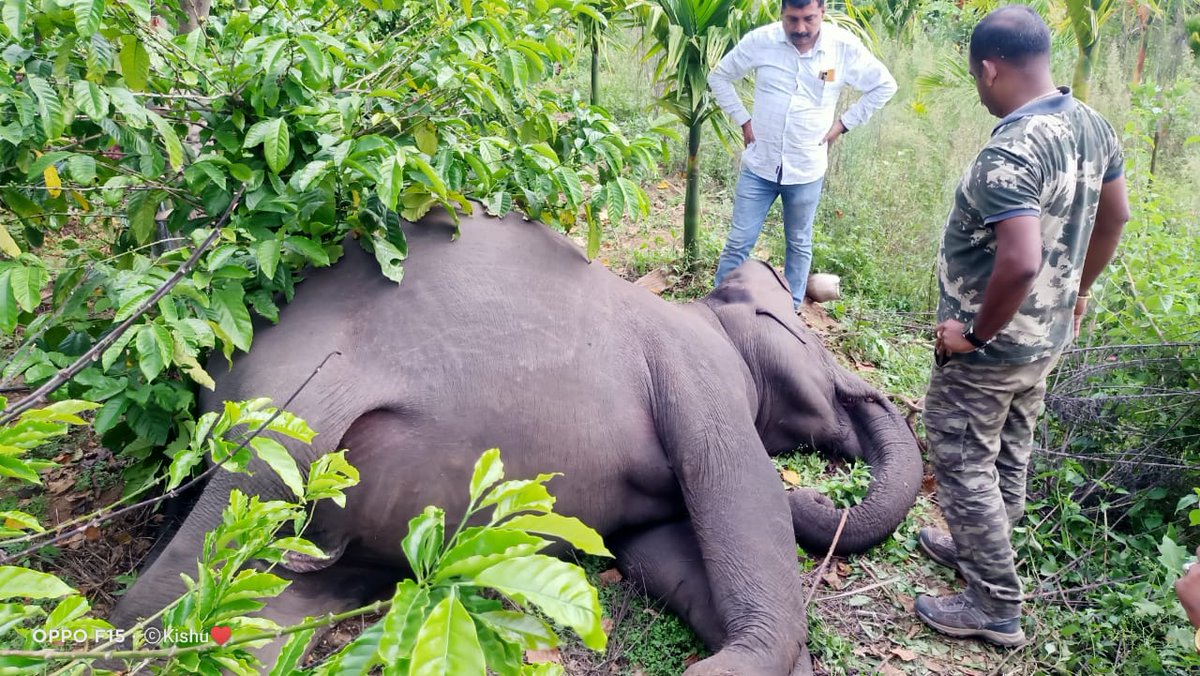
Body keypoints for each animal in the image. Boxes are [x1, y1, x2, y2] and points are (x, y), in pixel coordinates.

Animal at [111, 206, 923, 674]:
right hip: (285, 427)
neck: (702, 312)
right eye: (808, 331)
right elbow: (741, 490)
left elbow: (663, 552)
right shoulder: (697, 373)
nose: (880, 395)